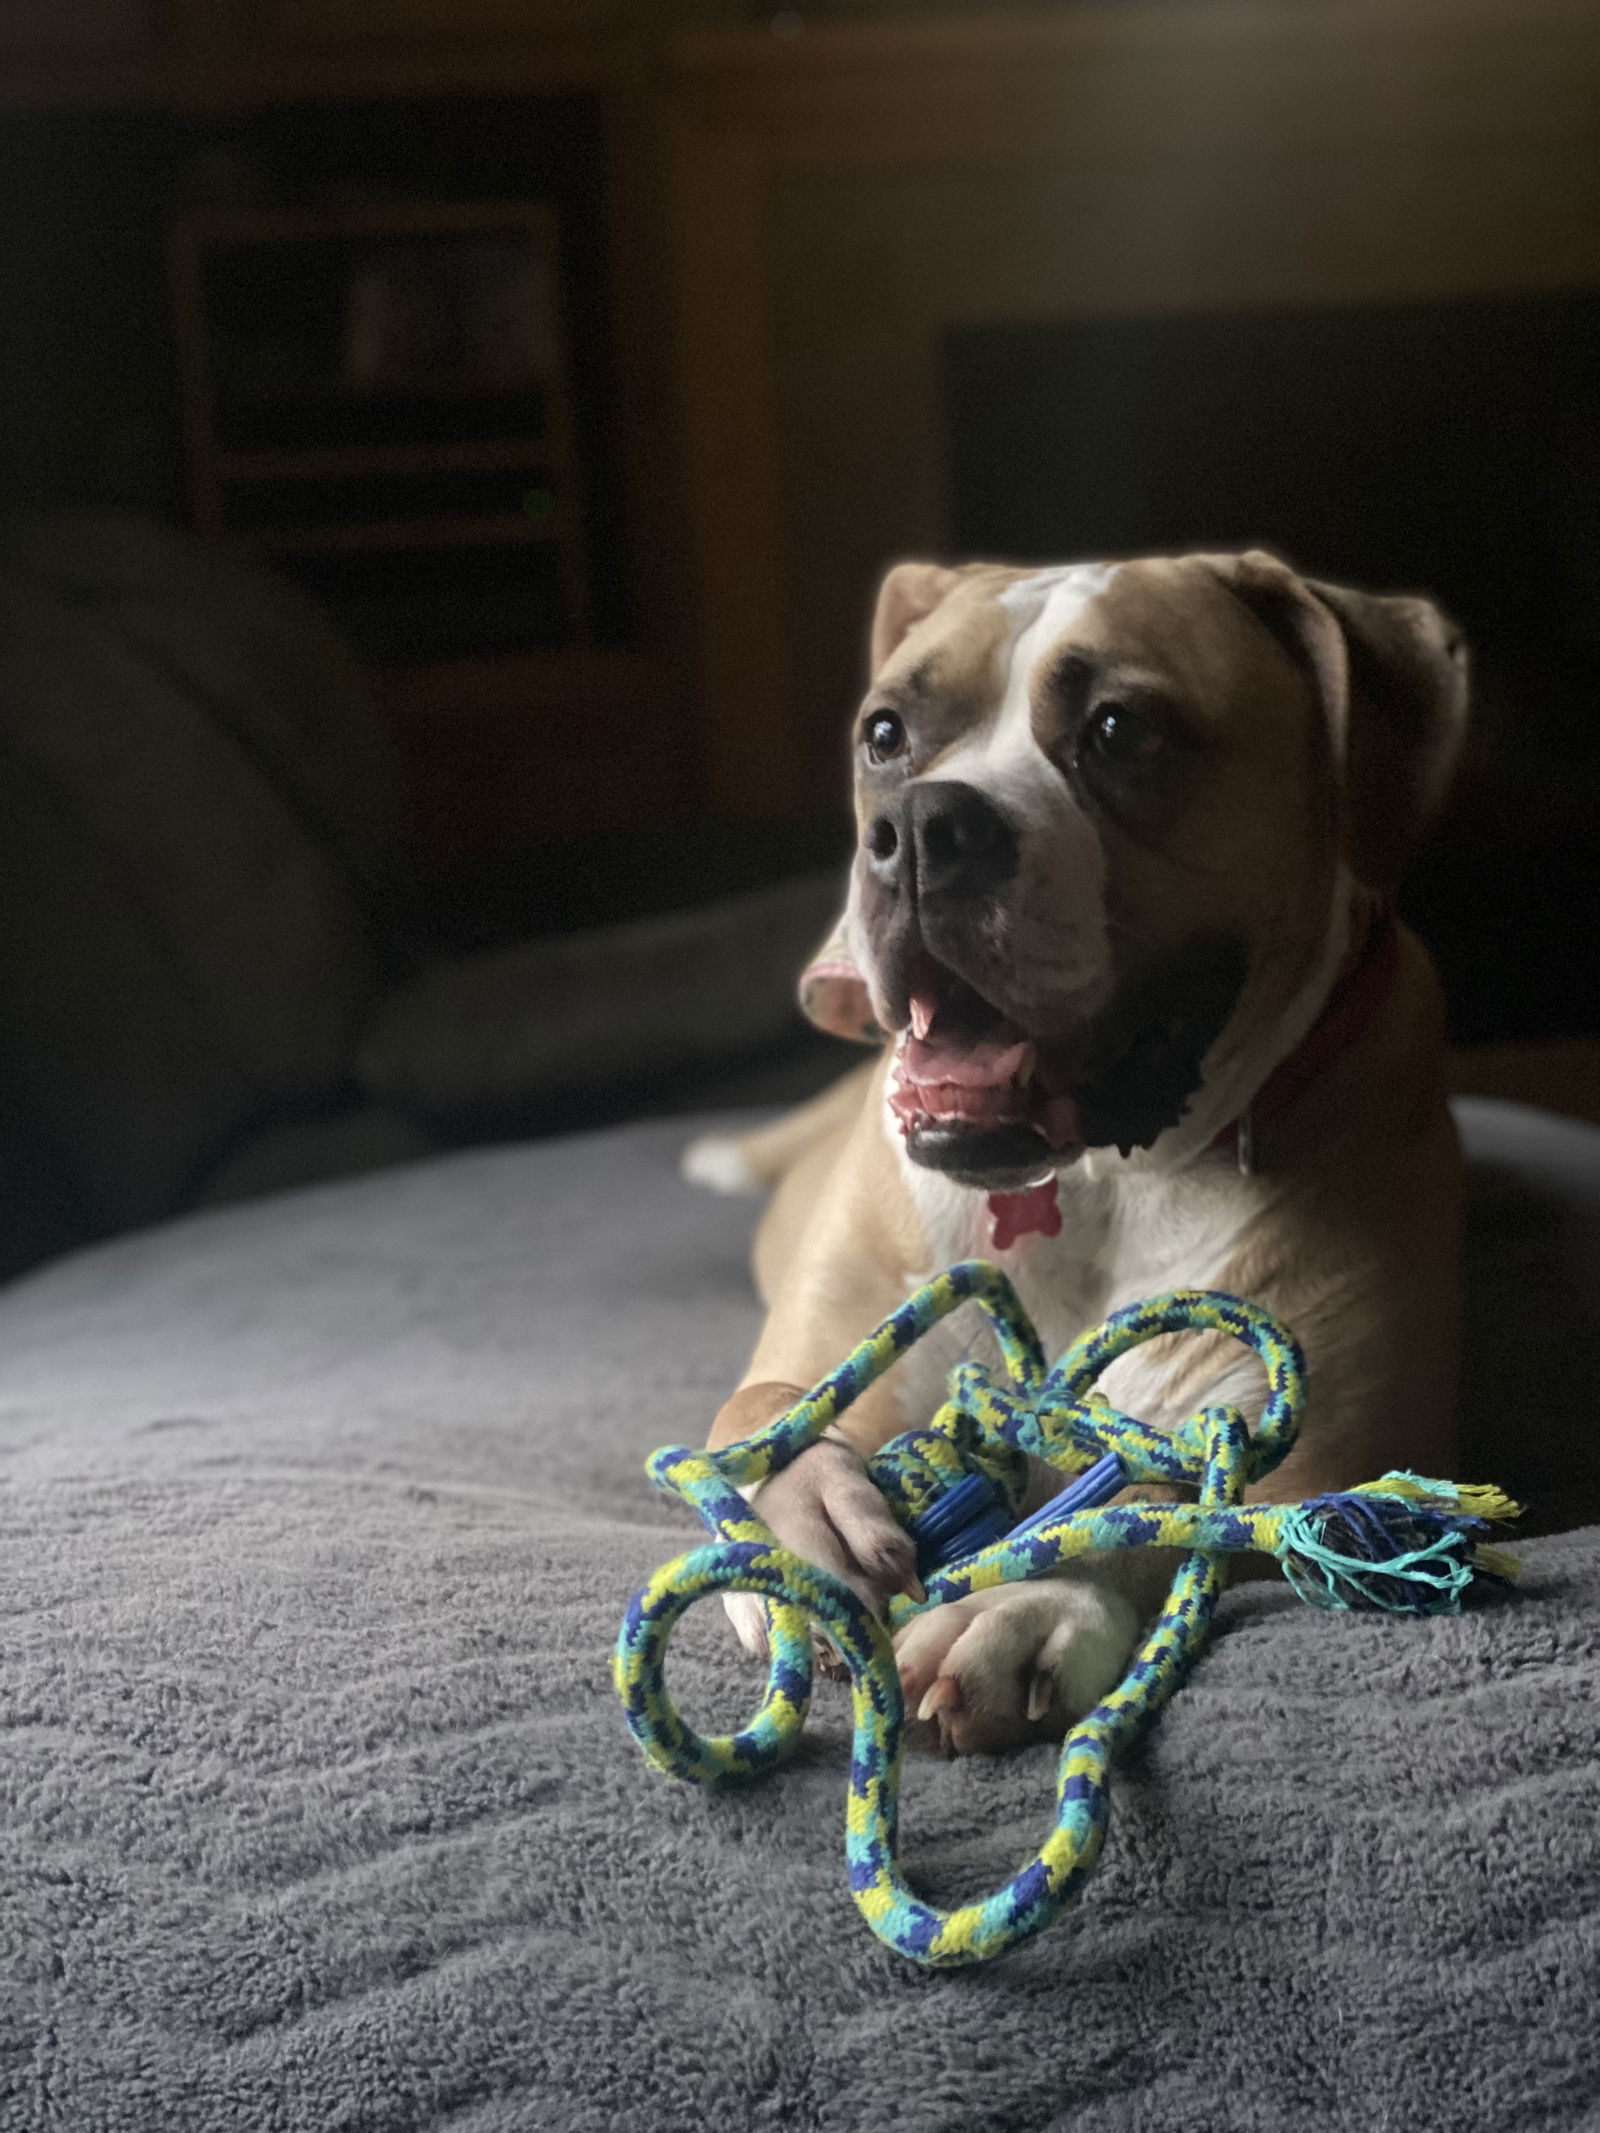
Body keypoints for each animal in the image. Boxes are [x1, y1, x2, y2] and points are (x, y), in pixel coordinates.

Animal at [682, 546, 1476, 1749]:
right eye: (884, 734)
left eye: (1119, 729)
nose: (921, 827)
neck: (1098, 1177)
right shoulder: (838, 1335)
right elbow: (761, 1408)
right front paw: (798, 1517)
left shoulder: (1317, 1450)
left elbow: (1164, 1505)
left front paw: (1026, 1594)